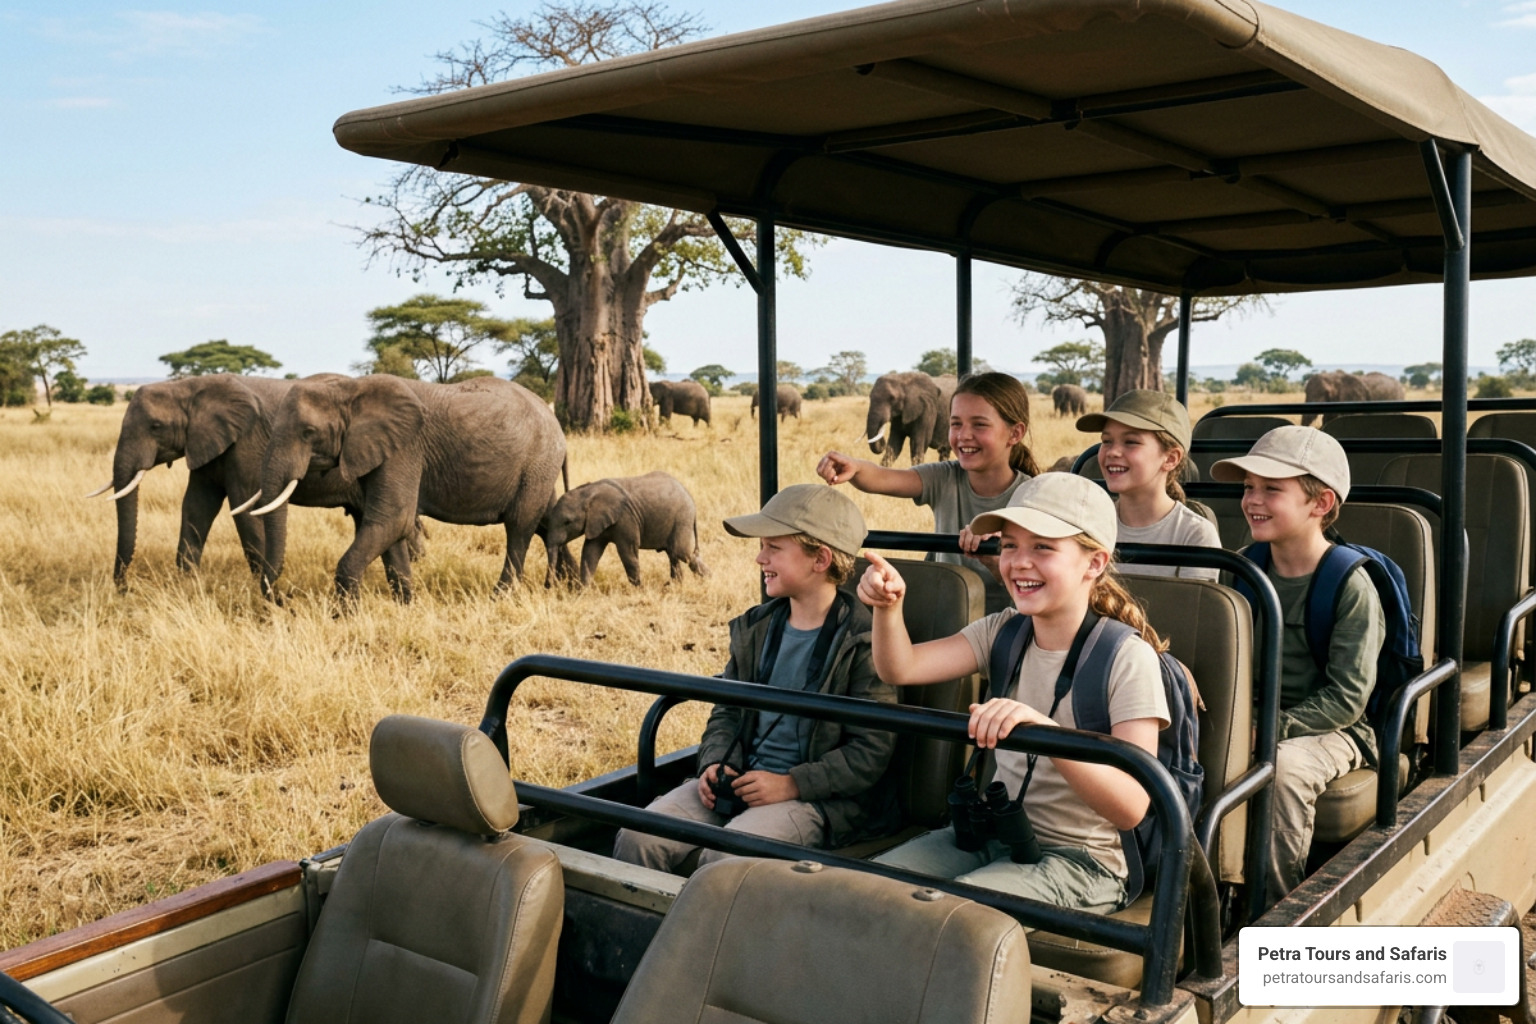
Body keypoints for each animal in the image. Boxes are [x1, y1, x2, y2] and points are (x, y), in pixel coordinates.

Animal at [90, 373, 420, 590]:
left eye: (155, 427)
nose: (123, 588)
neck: (189, 385)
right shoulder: (207, 443)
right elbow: (197, 506)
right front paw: (186, 586)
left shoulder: (246, 442)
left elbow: (243, 508)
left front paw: (267, 595)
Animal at [252, 374, 565, 602]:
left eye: (308, 433)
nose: (283, 600)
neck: (350, 390)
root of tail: (554, 420)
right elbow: (388, 527)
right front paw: (406, 604)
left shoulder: (404, 449)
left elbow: (393, 519)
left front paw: (344, 617)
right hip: (540, 470)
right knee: (547, 521)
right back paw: (566, 585)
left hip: (537, 463)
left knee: (519, 527)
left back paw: (500, 598)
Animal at [541, 471, 707, 587]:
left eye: (567, 522)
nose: (549, 586)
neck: (589, 492)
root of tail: (691, 498)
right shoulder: (596, 523)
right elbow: (590, 552)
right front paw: (582, 590)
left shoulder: (626, 519)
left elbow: (627, 553)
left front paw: (639, 588)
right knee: (673, 555)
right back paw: (673, 586)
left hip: (682, 518)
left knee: (682, 553)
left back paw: (708, 581)